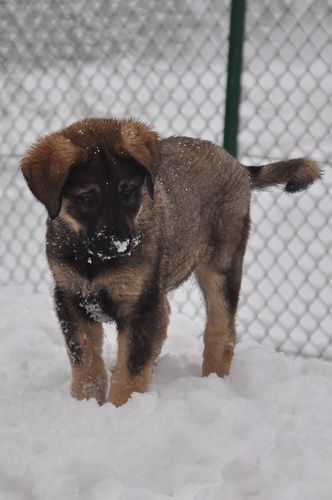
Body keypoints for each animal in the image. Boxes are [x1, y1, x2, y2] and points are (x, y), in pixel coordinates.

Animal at [20, 118, 320, 406]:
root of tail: (236, 164)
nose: (122, 244)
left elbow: (130, 372)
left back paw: (213, 382)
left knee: (221, 331)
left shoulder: (140, 305)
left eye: (129, 191)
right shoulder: (72, 298)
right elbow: (86, 364)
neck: (93, 260)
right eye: (86, 198)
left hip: (221, 266)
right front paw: (85, 404)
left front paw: (121, 410)